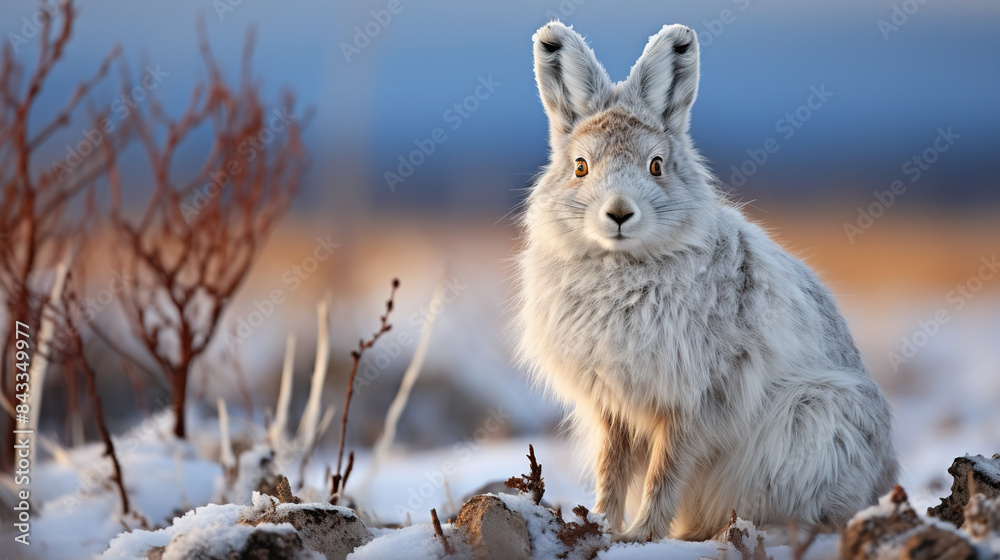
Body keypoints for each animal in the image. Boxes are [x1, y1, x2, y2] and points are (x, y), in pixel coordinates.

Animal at [514, 21, 898, 542]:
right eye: (580, 167)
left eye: (656, 165)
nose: (619, 213)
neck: (622, 266)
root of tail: (882, 482)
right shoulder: (614, 405)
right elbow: (612, 467)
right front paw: (602, 525)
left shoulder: (696, 399)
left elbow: (665, 470)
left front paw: (642, 535)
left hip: (816, 422)